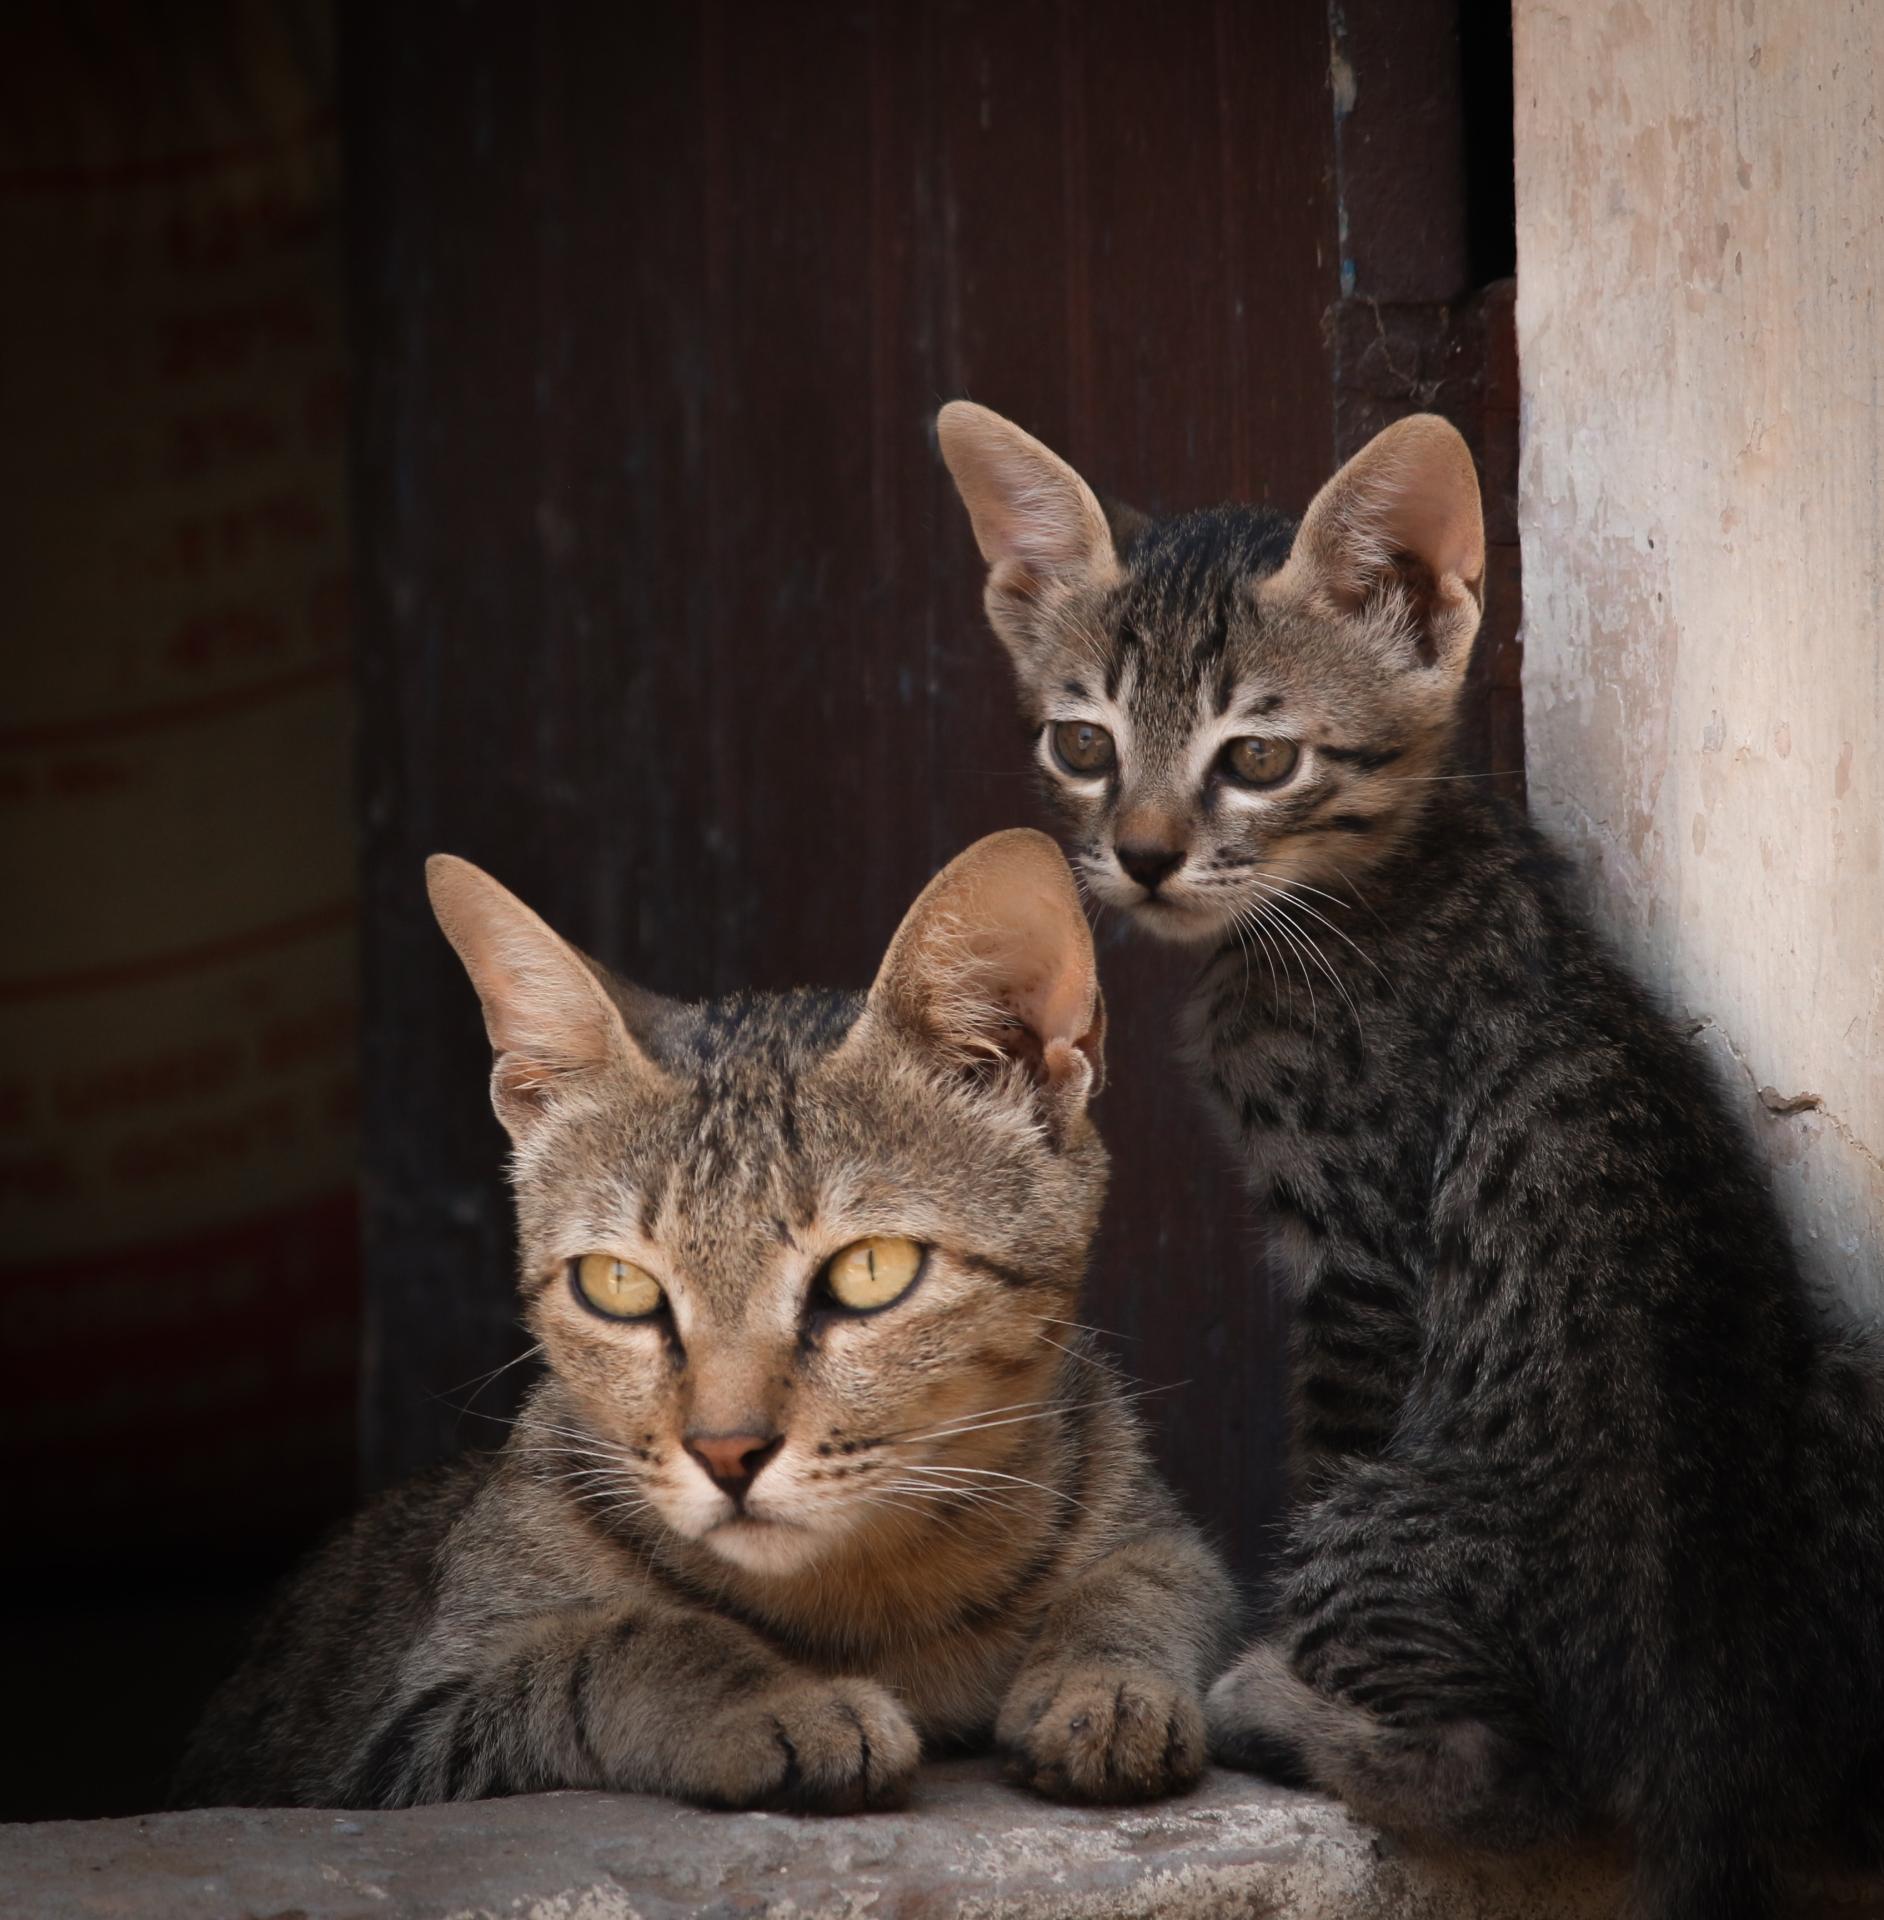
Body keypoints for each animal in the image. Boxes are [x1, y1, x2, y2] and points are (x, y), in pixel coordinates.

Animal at [176, 833, 1236, 1804]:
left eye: (870, 1271)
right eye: (617, 1285)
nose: (727, 1454)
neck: (868, 1596)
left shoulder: (1154, 1524)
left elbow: (1147, 1579)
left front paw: (1108, 1682)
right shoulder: (408, 1736)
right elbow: (627, 1645)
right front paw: (771, 1698)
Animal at [937, 408, 1882, 1920]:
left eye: (1258, 762)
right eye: (1084, 744)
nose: (1141, 857)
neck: (1387, 877)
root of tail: (1701, 1727)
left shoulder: (1362, 1255)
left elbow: (1329, 1434)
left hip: (1388, 1530)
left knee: (1502, 1777)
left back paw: (1278, 1706)